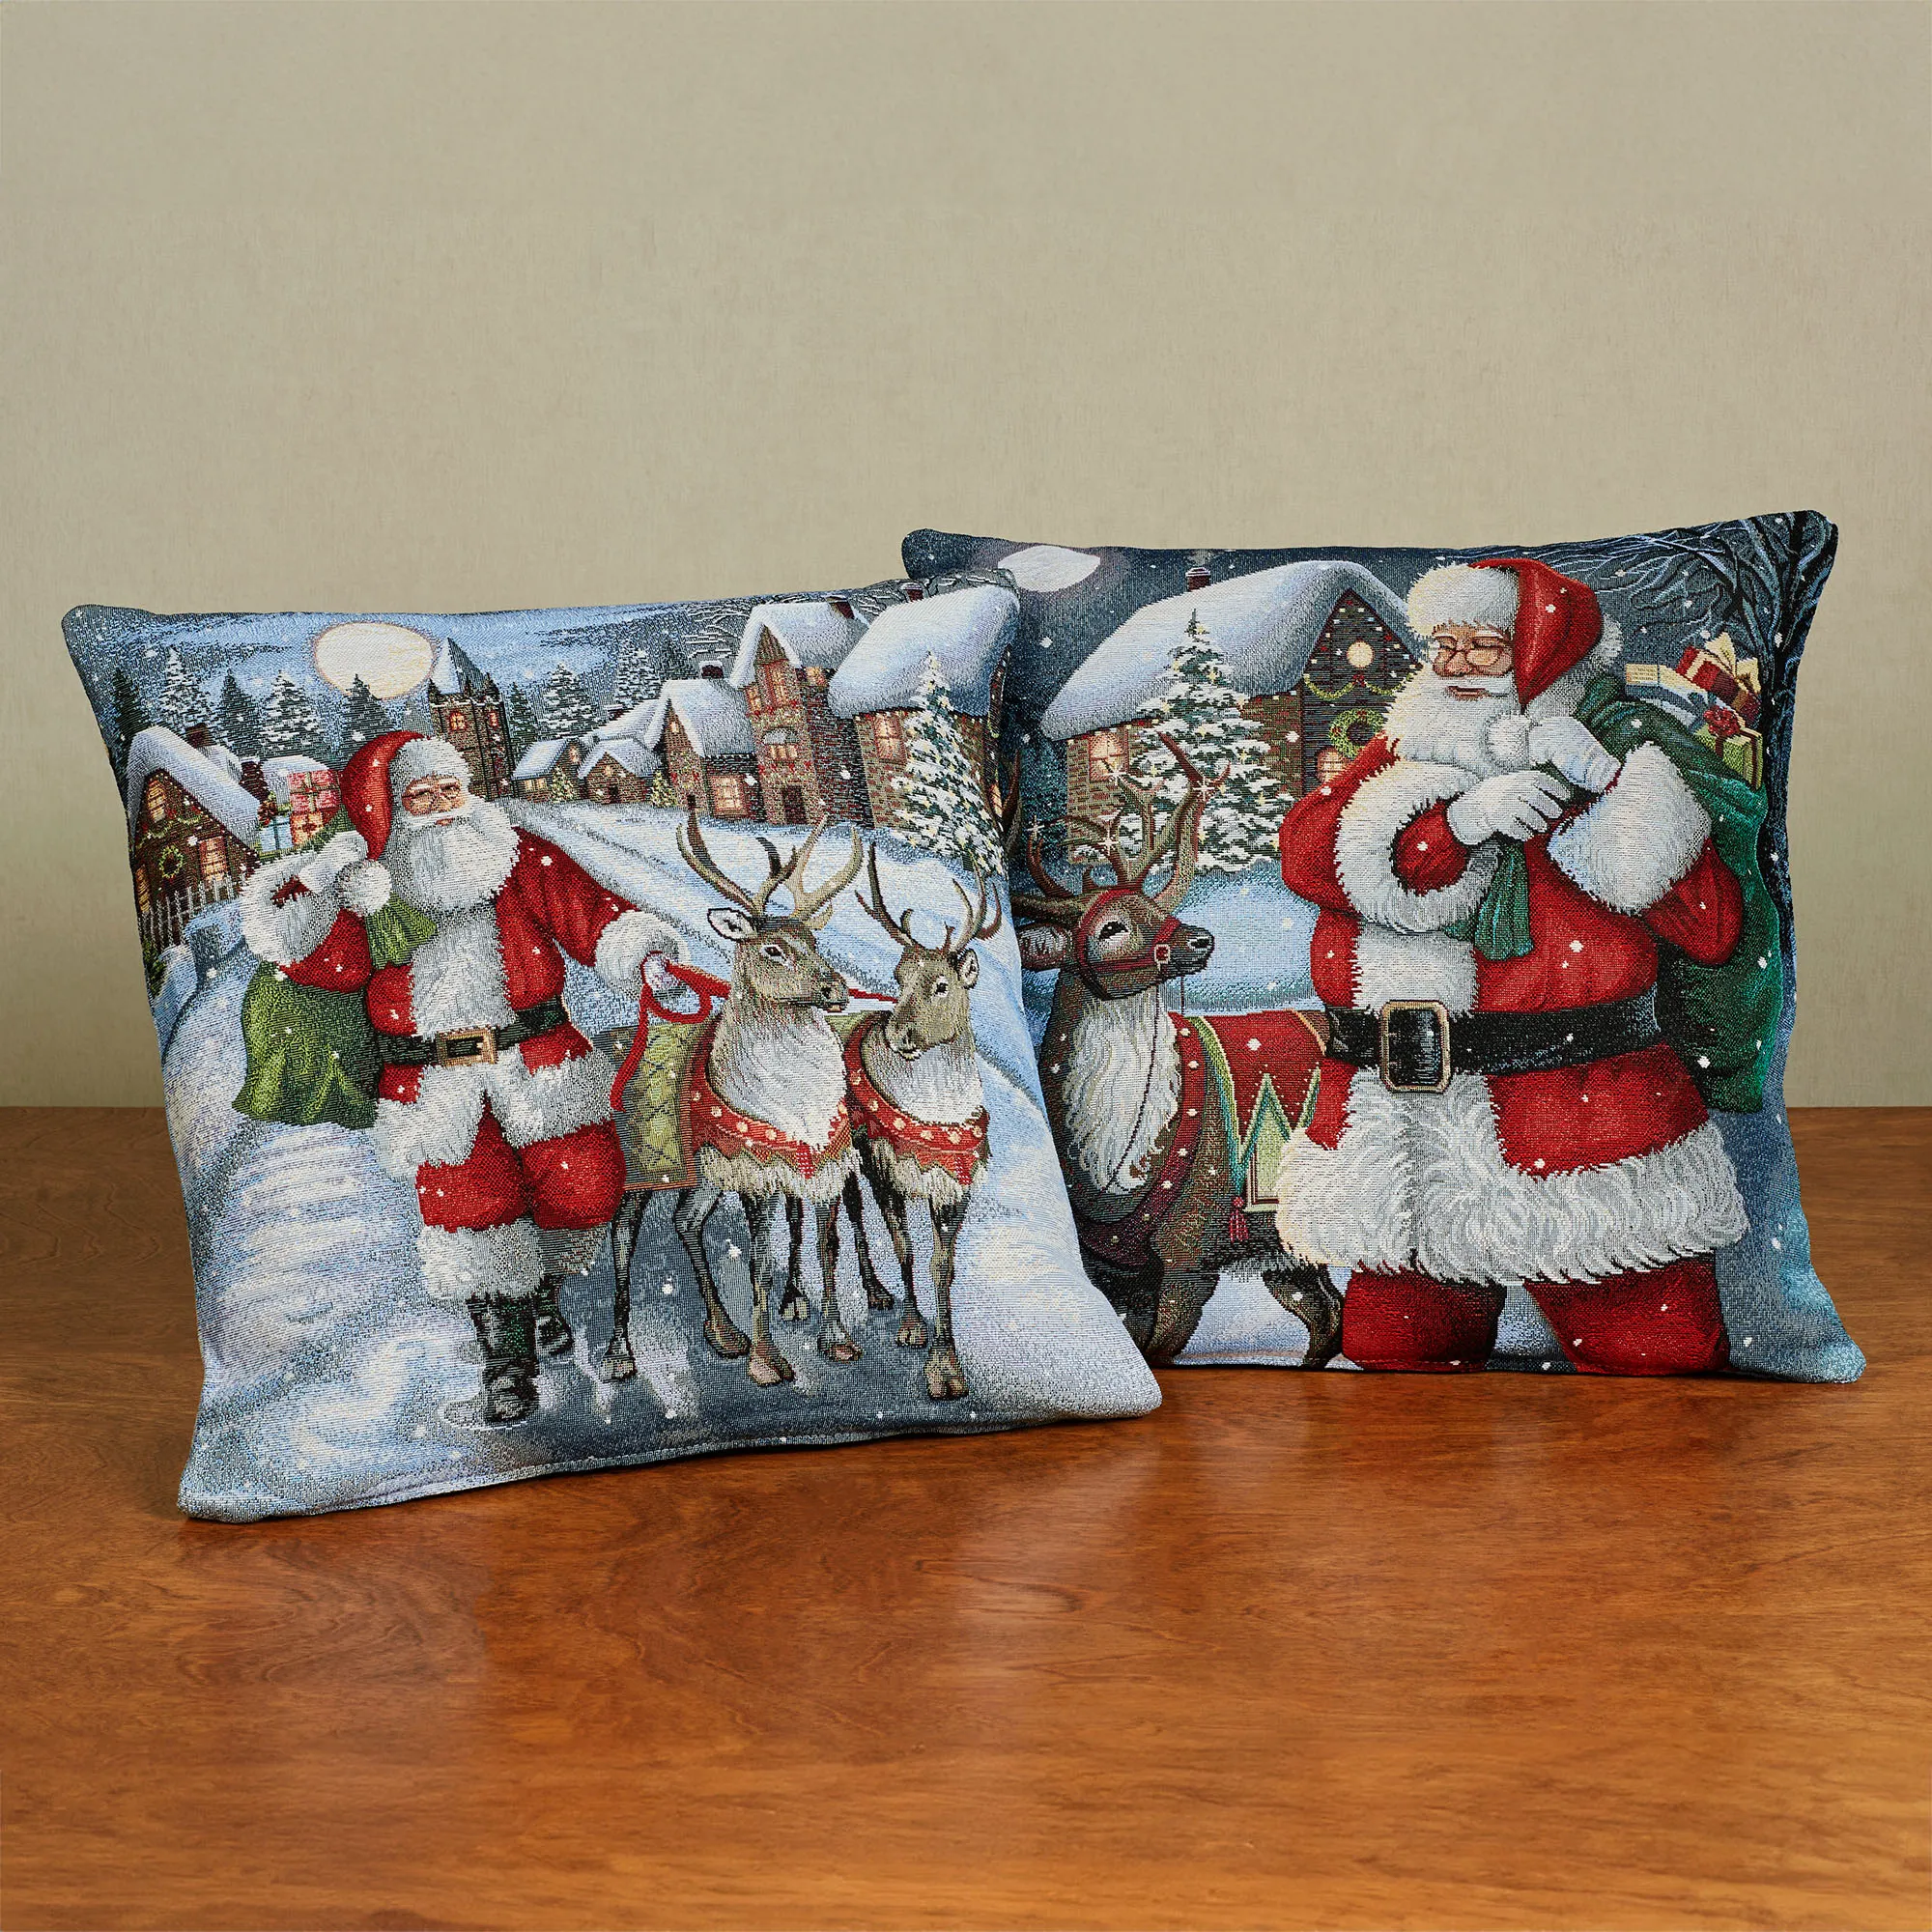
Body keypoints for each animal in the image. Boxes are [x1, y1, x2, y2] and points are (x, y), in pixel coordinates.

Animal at [604, 808, 865, 1389]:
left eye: (815, 942)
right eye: (773, 949)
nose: (836, 988)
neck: (799, 1112)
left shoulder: (825, 1166)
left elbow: (828, 1250)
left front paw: (837, 1340)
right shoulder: (755, 1171)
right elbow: (760, 1263)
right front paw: (768, 1363)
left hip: (701, 1172)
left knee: (685, 1219)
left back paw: (723, 1334)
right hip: (641, 1164)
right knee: (624, 1234)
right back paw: (619, 1355)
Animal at [839, 846, 1003, 1401]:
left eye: (941, 985)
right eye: (898, 978)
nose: (899, 1034)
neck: (935, 1118)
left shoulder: (955, 1186)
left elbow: (942, 1267)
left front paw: (947, 1365)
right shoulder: (887, 1169)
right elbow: (905, 1248)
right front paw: (914, 1330)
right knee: (848, 1210)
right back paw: (874, 1292)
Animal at [1010, 742, 1343, 1368]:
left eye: (1154, 907)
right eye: (1111, 927)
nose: (1200, 939)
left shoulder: (1194, 1247)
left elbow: (1162, 1350)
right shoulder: (1117, 1270)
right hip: (1291, 1246)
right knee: (1327, 1317)